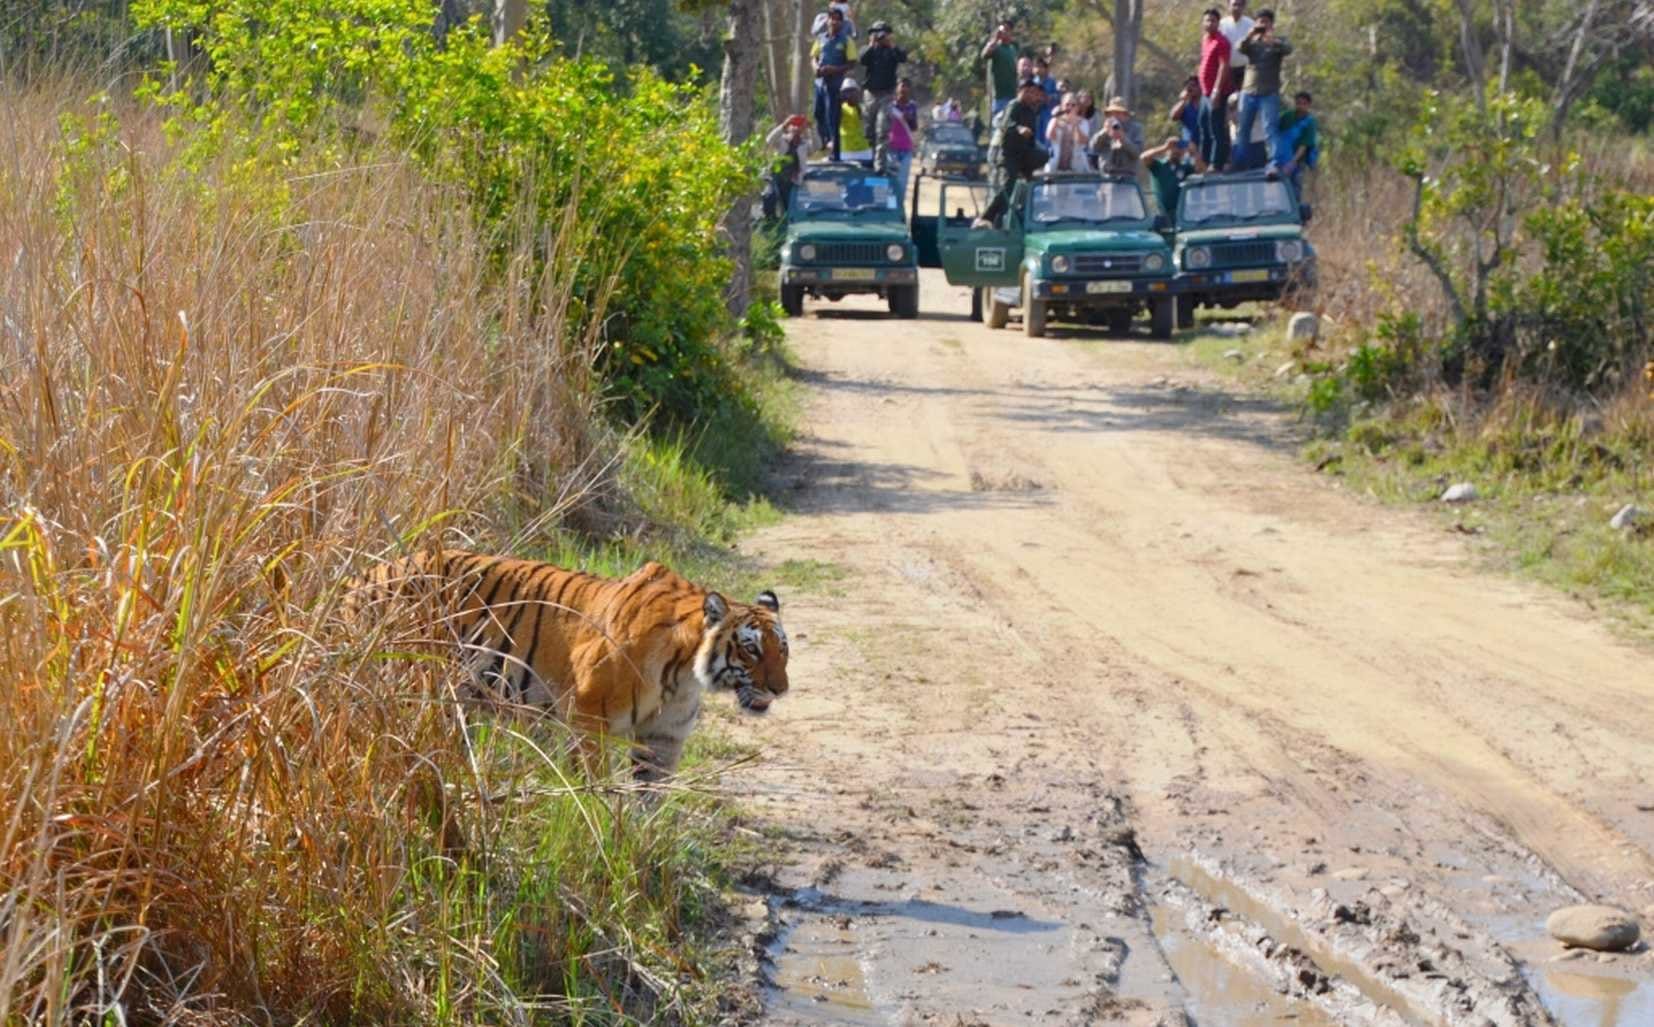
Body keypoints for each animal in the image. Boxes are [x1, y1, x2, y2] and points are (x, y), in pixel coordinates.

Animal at [346, 548, 789, 780]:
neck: (683, 676)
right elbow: (594, 783)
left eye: (782, 650)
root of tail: (362, 576)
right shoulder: (588, 719)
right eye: (751, 650)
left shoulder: (663, 738)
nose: (780, 689)